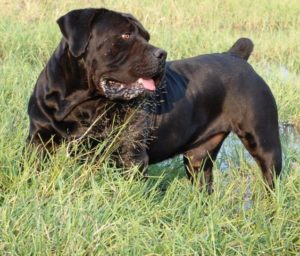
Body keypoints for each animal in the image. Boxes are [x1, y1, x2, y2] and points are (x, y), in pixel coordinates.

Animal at [27, 7, 282, 192]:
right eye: (125, 35)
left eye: (146, 36)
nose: (162, 53)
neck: (81, 101)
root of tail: (237, 56)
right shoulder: (39, 140)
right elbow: (31, 169)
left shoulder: (131, 157)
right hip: (198, 158)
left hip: (264, 142)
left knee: (271, 179)